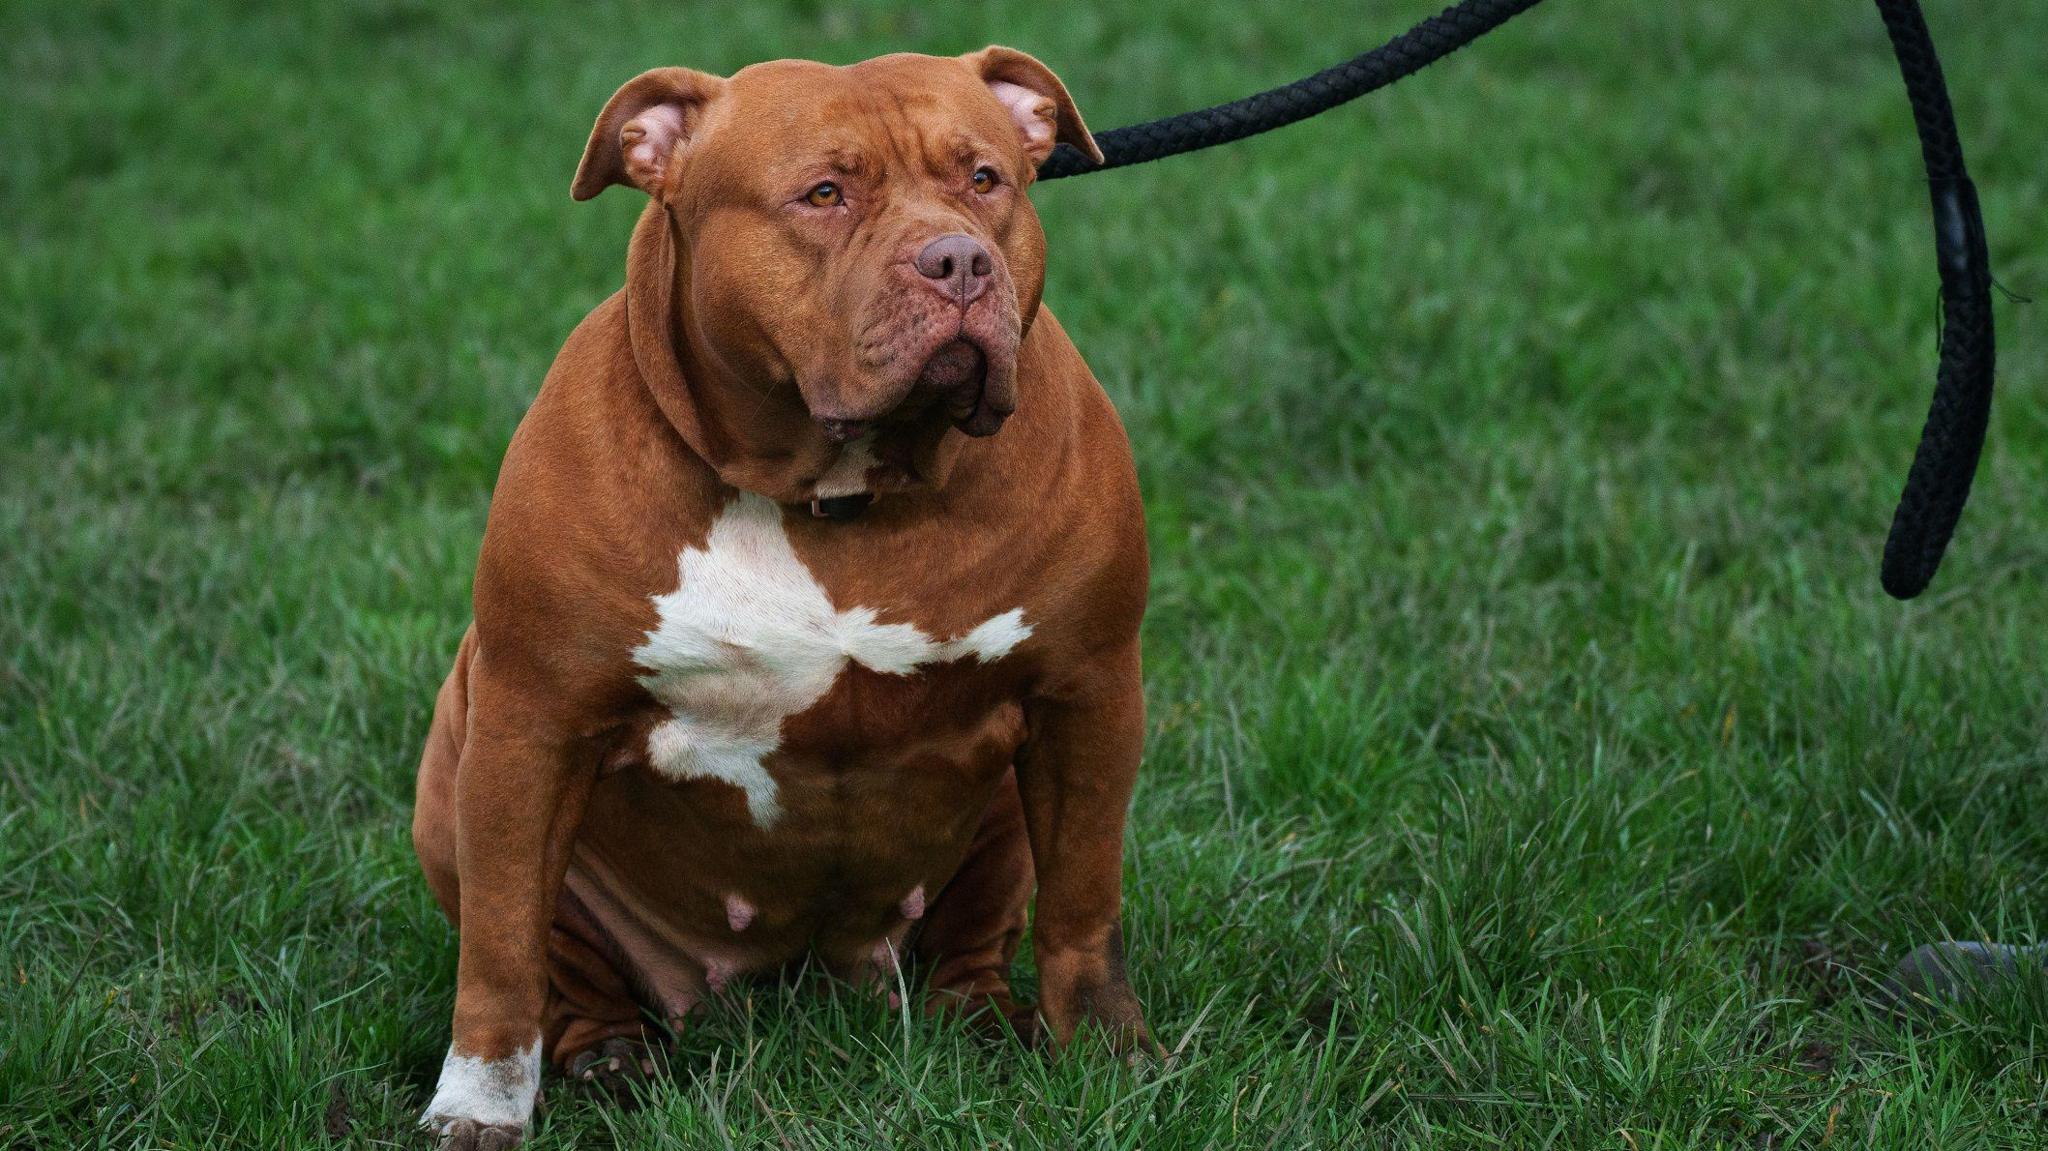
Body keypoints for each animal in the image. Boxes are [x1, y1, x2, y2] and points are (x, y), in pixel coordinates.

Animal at [407, 47, 1163, 1146]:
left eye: (985, 180)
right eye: (823, 195)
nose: (958, 261)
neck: (836, 493)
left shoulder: (1088, 694)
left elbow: (1085, 906)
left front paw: (1110, 1053)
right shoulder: (528, 719)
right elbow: (504, 948)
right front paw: (477, 1102)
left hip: (1004, 823)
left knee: (975, 937)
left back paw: (981, 1018)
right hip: (454, 766)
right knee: (560, 966)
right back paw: (603, 1054)